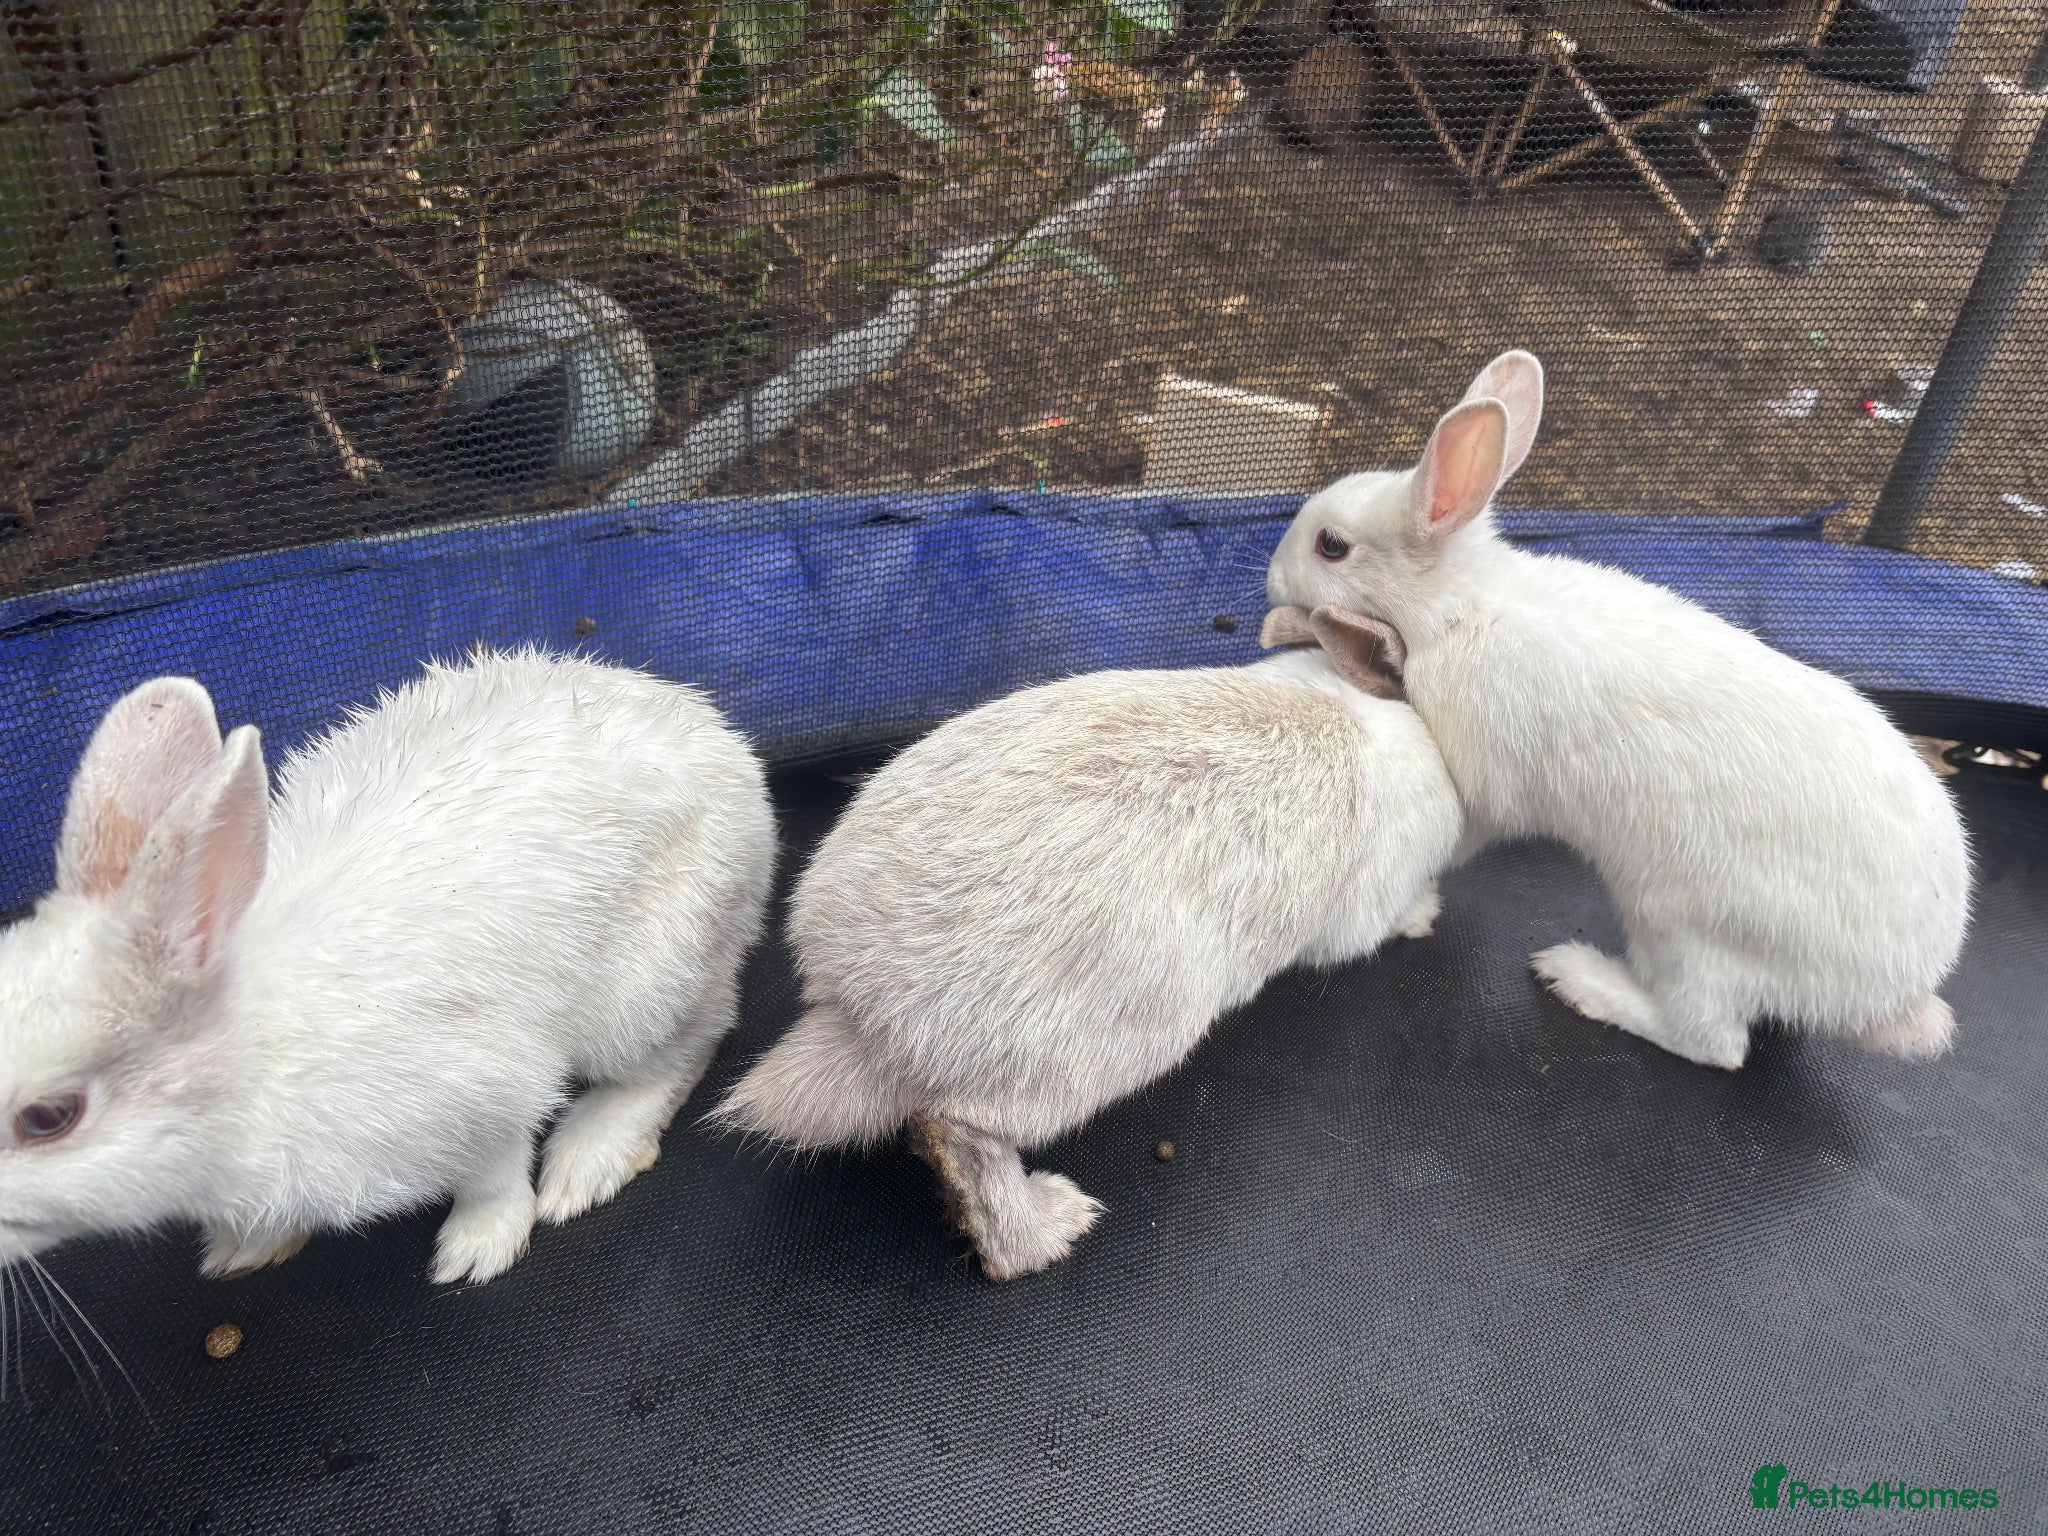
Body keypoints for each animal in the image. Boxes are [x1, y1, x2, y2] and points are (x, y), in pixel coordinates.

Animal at [0, 650, 774, 1285]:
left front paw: (478, 1248)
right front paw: (244, 1250)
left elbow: (493, 1174)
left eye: (50, 1117)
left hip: (650, 985)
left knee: (687, 1047)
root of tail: (734, 759)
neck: (256, 1056)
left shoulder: (483, 1092)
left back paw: (586, 1161)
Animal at [717, 616, 1462, 1279]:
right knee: (962, 1133)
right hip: (1098, 1049)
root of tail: (864, 1008)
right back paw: (1051, 1225)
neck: (1347, 701)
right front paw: (1425, 913)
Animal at [1265, 349, 1970, 1072]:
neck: (1460, 609)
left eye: (1331, 545)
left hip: (1684, 930)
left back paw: (1579, 979)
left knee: (1710, 1040)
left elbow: (1458, 841)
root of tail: (1892, 998)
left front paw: (1413, 908)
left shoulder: (1485, 789)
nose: (1270, 577)